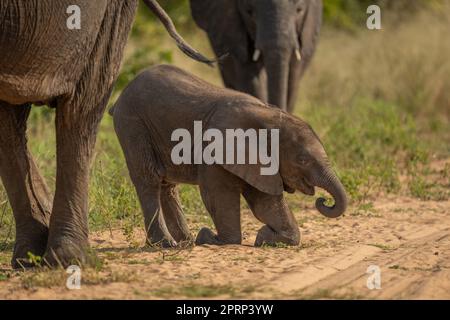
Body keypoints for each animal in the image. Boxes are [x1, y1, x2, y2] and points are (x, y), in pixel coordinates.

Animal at [110, 65, 348, 248]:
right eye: (302, 160)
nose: (323, 200)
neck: (270, 117)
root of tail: (120, 97)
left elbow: (265, 202)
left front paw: (265, 237)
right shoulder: (215, 152)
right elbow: (219, 195)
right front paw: (210, 237)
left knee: (167, 185)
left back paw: (185, 242)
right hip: (132, 124)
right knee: (149, 178)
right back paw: (167, 245)